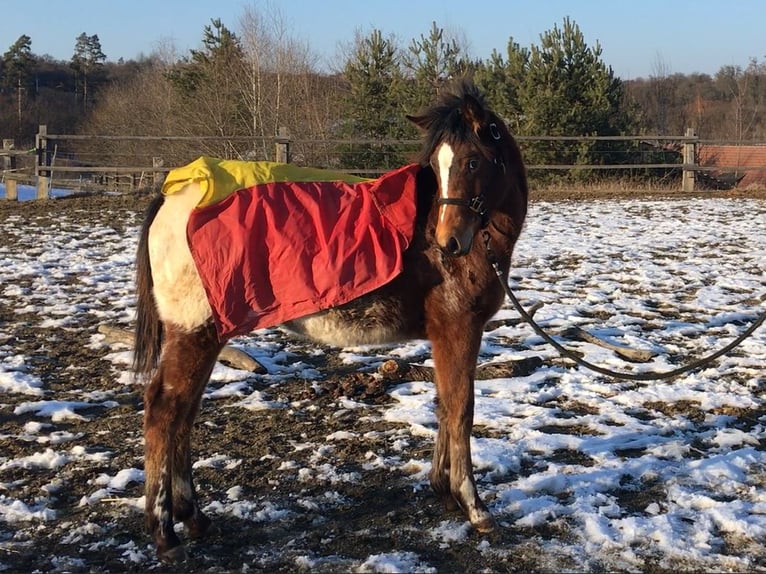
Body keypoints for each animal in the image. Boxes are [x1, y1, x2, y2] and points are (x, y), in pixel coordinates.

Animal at [134, 81, 528, 564]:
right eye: (438, 166)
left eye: (472, 161)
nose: (448, 241)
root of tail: (172, 196)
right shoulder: (458, 329)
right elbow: (461, 409)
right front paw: (474, 506)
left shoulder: (444, 336)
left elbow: (444, 404)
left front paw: (444, 491)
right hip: (194, 334)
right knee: (164, 410)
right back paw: (164, 532)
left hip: (208, 337)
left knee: (184, 414)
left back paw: (193, 518)